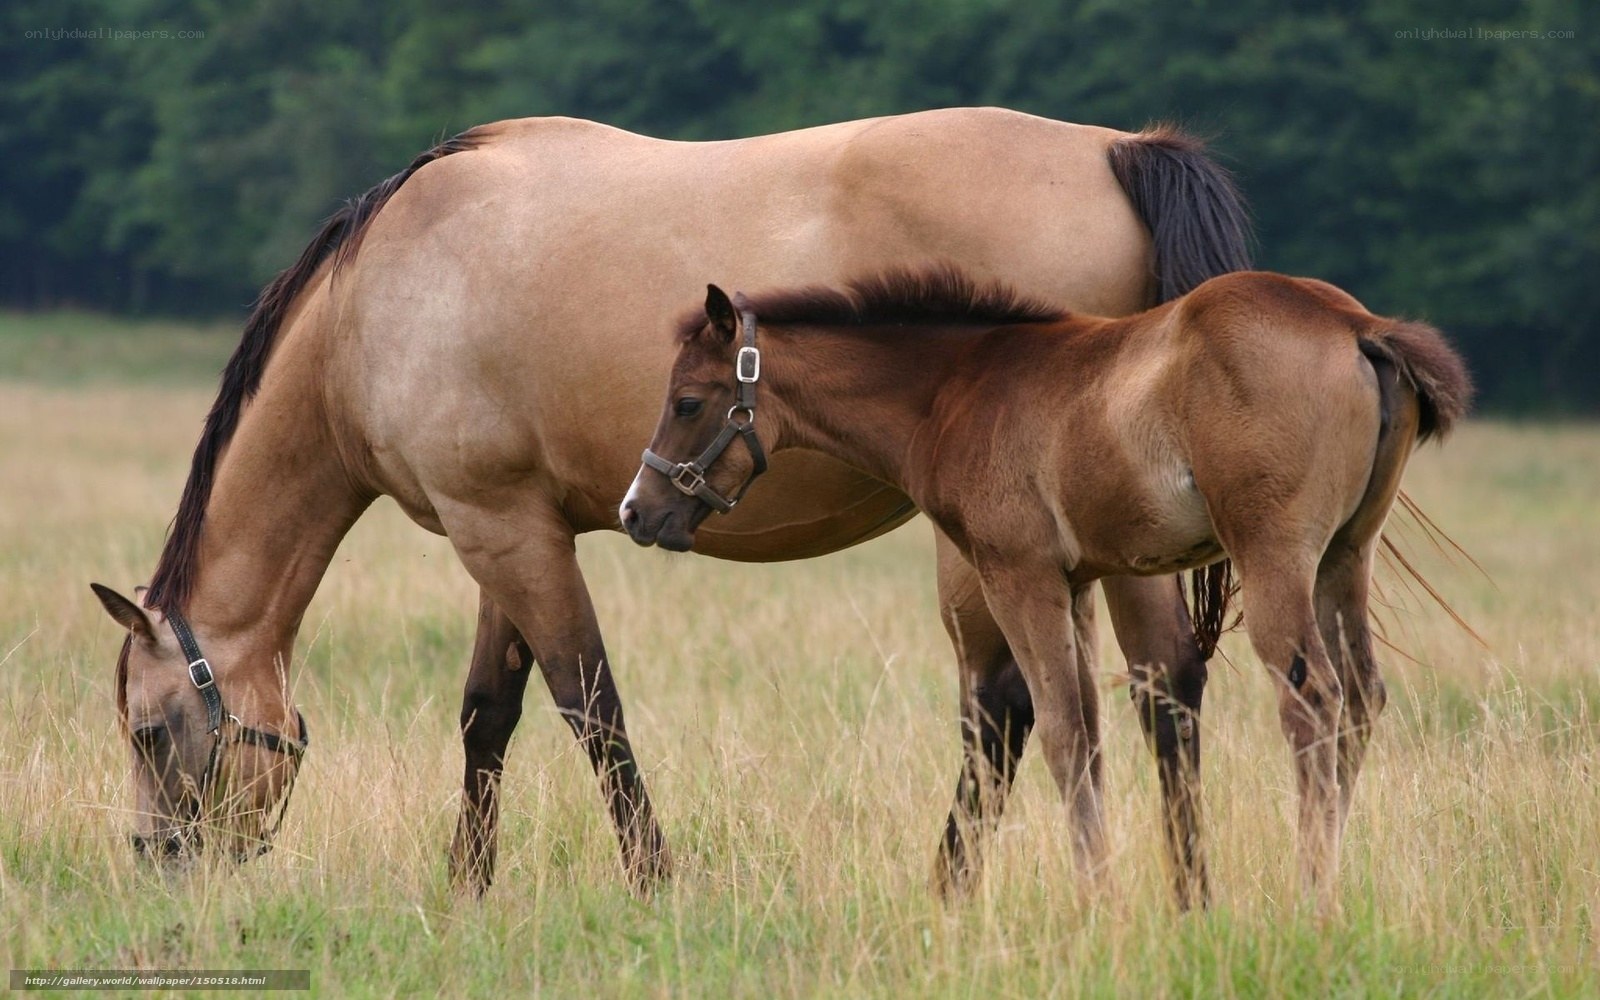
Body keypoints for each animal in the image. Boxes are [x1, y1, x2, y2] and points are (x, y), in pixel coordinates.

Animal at [88, 107, 1251, 905]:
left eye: (148, 731)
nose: (158, 865)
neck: (374, 302)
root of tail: (1118, 150)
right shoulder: (512, 526)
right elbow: (488, 711)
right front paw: (468, 884)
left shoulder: (498, 529)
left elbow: (587, 704)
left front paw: (653, 878)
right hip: (1113, 542)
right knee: (1162, 688)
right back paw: (1184, 893)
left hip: (998, 549)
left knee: (1008, 708)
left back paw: (954, 889)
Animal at [623, 266, 1470, 910]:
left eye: (688, 402)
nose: (638, 509)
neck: (955, 390)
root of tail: (1357, 326)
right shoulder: (1077, 582)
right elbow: (1089, 731)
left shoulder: (1018, 575)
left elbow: (1061, 731)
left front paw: (1096, 898)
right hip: (1344, 559)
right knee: (1360, 699)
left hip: (1275, 560)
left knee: (1313, 701)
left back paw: (1312, 894)